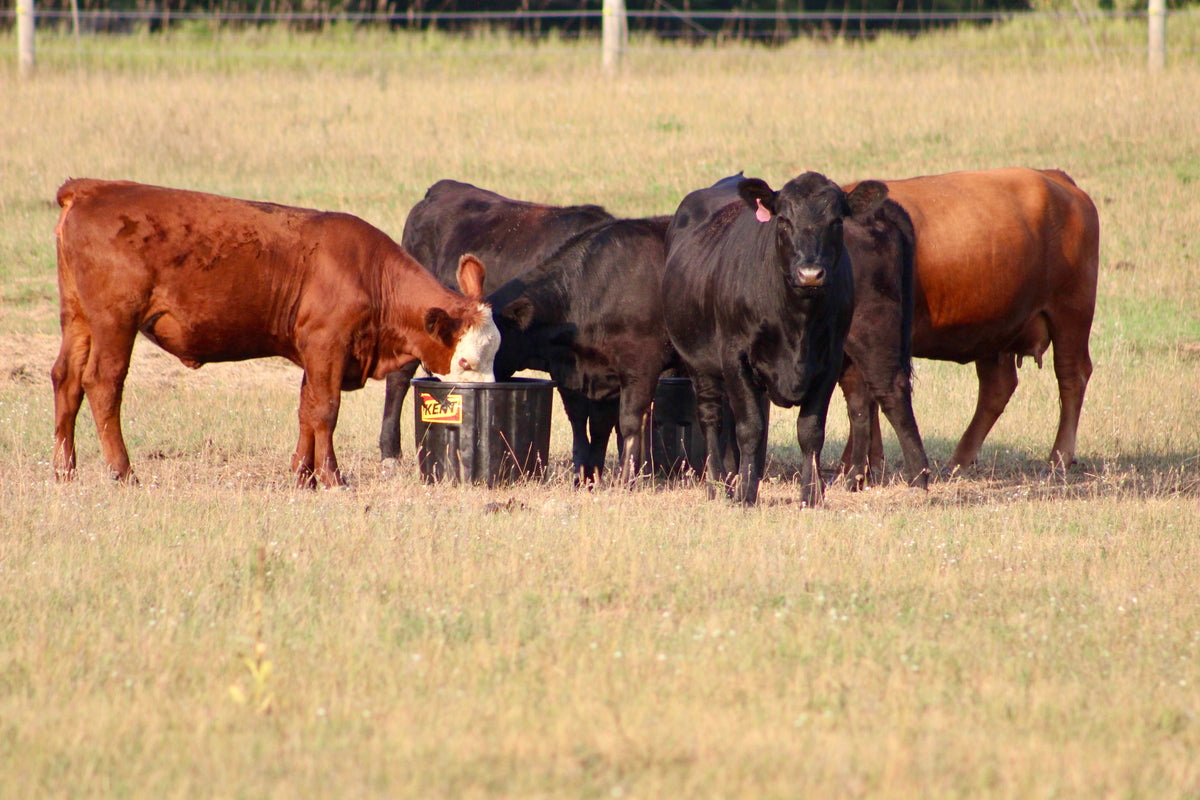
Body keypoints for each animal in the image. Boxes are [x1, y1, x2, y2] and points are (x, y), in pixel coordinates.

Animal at [51, 178, 499, 488]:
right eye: (465, 361)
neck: (367, 272)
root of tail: (90, 188)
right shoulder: (326, 344)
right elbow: (325, 410)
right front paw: (332, 477)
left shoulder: (315, 355)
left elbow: (306, 410)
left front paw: (304, 477)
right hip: (115, 322)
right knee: (102, 384)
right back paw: (123, 472)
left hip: (78, 319)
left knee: (66, 379)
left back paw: (64, 470)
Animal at [488, 215, 677, 484]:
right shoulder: (593, 377)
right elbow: (591, 425)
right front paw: (587, 478)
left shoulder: (640, 368)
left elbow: (629, 424)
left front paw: (625, 481)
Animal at [664, 172, 889, 506]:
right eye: (783, 220)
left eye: (836, 221)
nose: (810, 273)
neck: (796, 323)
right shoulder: (735, 356)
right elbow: (750, 429)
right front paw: (745, 495)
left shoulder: (829, 361)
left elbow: (810, 431)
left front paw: (812, 494)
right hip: (699, 364)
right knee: (712, 419)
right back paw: (718, 484)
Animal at [841, 167, 1100, 473]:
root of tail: (1055, 179)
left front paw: (857, 464)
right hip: (994, 333)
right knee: (997, 388)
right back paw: (960, 460)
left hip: (1071, 315)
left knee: (1072, 376)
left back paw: (1059, 458)